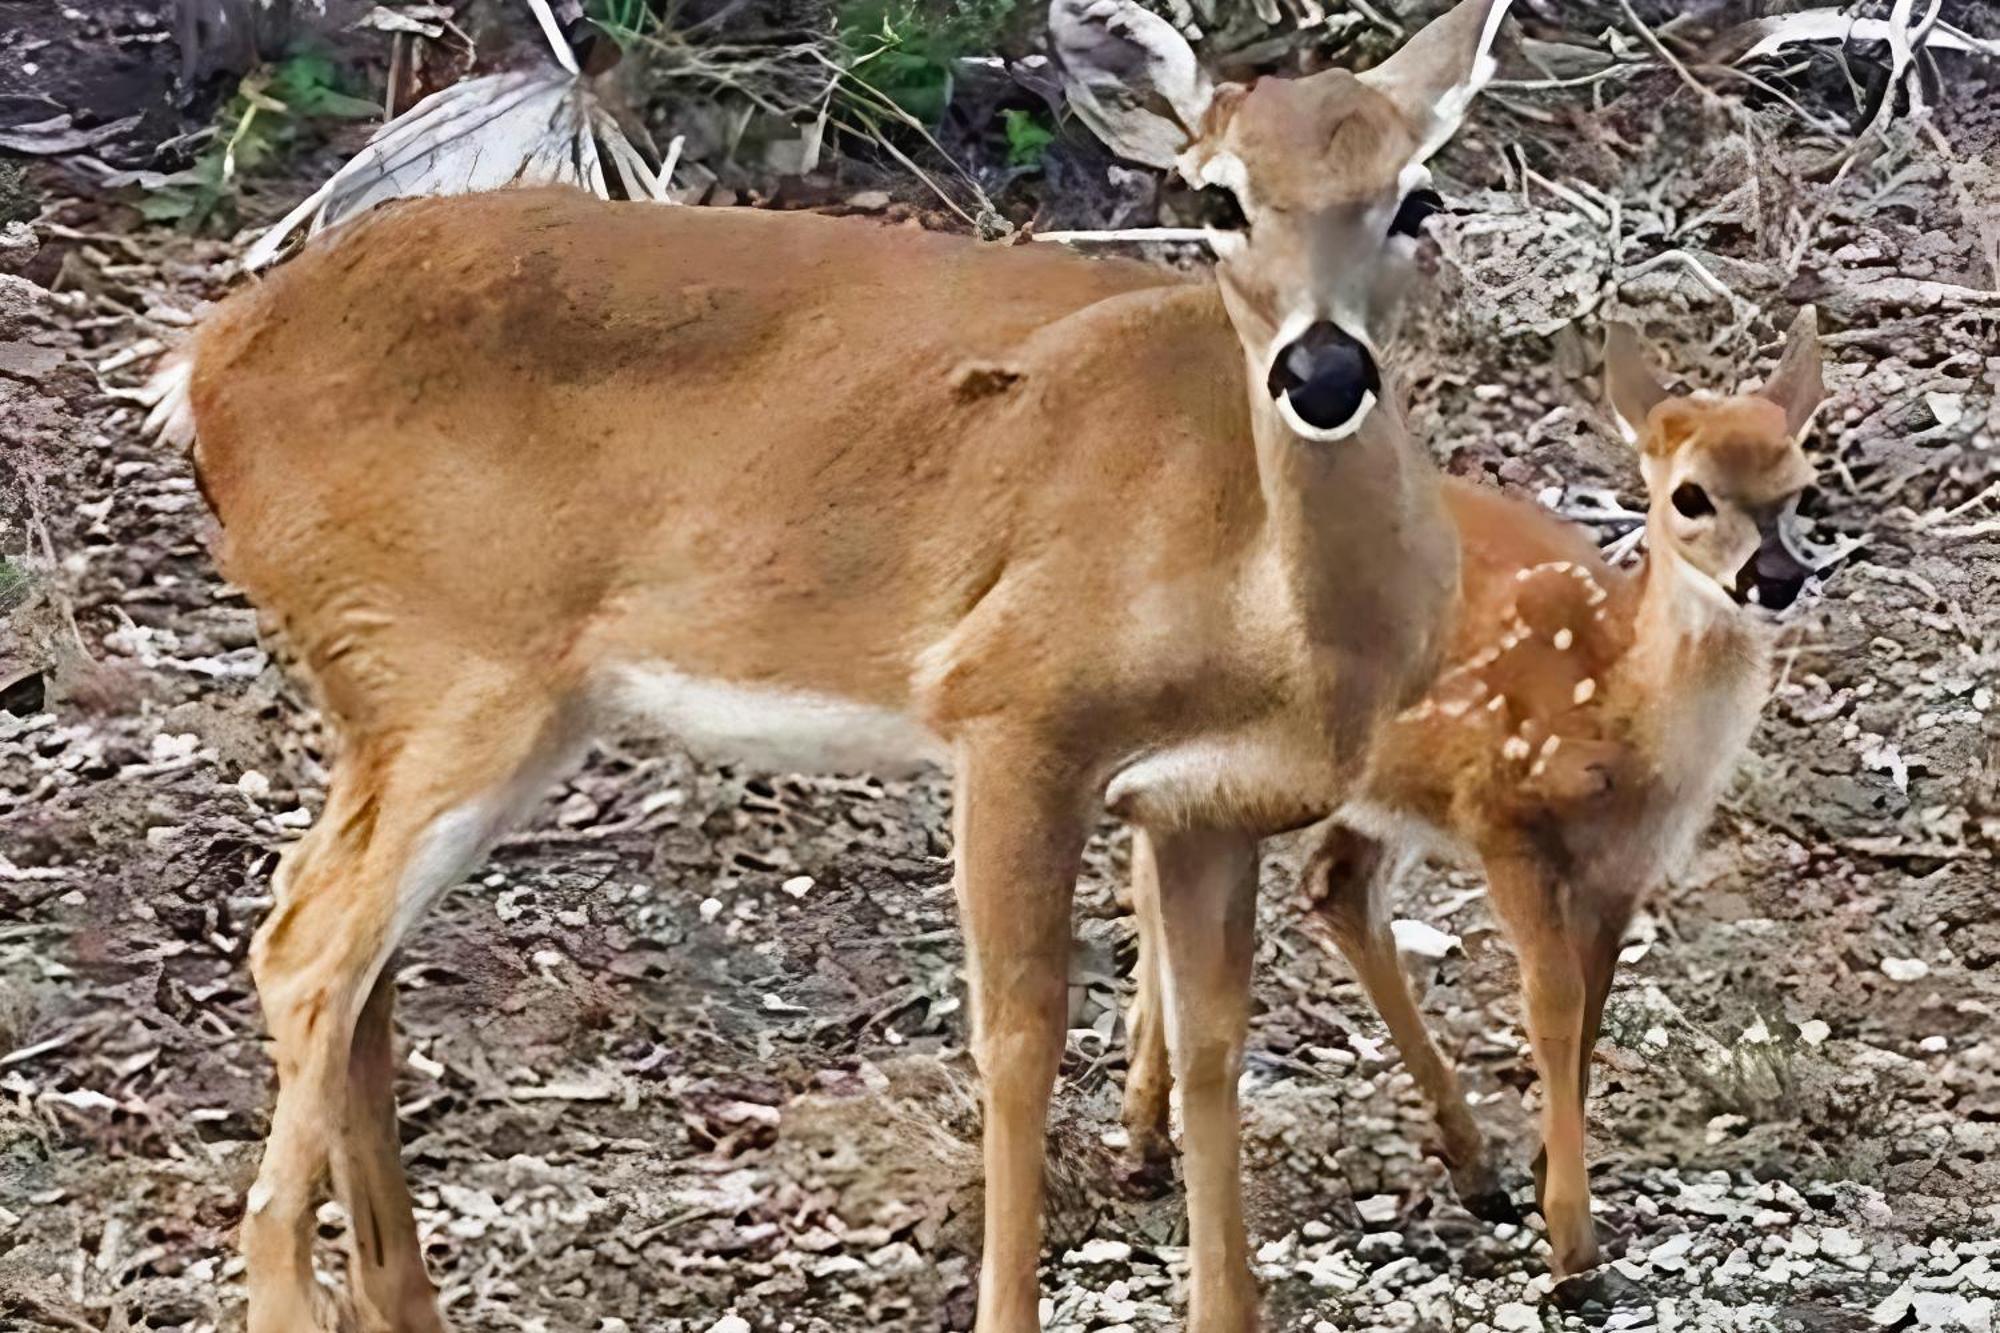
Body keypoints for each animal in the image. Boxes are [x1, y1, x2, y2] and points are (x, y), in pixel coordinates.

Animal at [160, 5, 1512, 1320]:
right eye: (1217, 197)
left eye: (1417, 197)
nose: (1321, 372)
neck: (1263, 614)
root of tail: (203, 364)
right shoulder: (1008, 711)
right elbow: (1017, 1041)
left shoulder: (1206, 806)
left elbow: (1210, 1046)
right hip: (447, 663)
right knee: (304, 948)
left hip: (426, 694)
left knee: (358, 965)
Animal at [1120, 308, 1832, 1280]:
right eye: (1690, 496)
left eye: (1803, 490)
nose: (1777, 577)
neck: (1616, 715)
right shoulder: (1502, 817)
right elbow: (1552, 1000)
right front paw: (1572, 1242)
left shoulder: (1625, 866)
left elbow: (1594, 999)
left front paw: (1542, 1167)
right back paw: (1144, 1141)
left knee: (1327, 884)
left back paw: (1467, 1163)